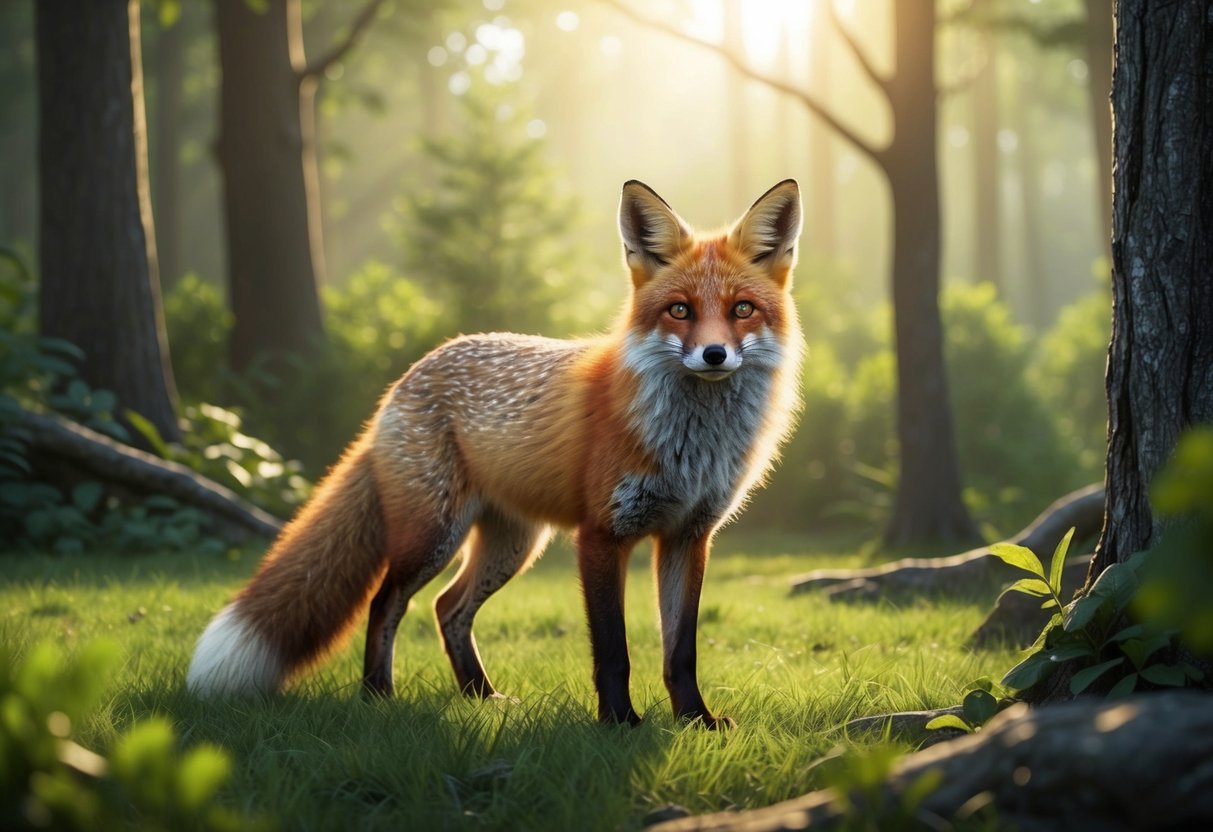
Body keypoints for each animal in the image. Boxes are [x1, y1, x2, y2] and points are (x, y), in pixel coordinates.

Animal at [189, 179, 805, 727]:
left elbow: (681, 651)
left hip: (512, 544)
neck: (691, 445)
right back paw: (377, 695)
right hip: (432, 536)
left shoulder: (688, 537)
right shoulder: (602, 534)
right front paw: (619, 724)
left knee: (448, 609)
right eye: (679, 311)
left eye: (742, 309)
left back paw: (481, 697)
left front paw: (696, 721)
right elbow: (613, 651)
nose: (714, 354)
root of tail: (406, 378)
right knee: (386, 603)